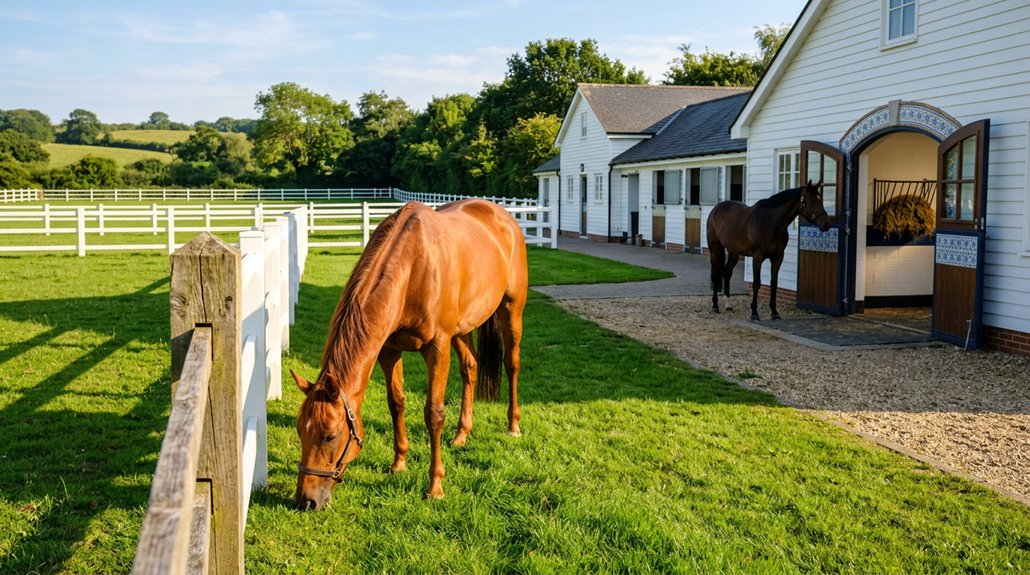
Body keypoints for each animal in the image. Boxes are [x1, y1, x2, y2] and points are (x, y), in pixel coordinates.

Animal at [291, 198, 528, 510]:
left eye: (330, 436)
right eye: (299, 430)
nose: (306, 501)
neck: (413, 268)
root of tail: (503, 216)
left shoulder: (437, 348)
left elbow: (434, 413)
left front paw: (435, 486)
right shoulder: (389, 350)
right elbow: (396, 403)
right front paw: (399, 463)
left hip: (511, 309)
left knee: (511, 364)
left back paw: (513, 425)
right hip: (462, 328)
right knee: (471, 366)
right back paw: (462, 434)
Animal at [707, 180, 831, 321]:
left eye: (820, 200)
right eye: (812, 201)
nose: (826, 224)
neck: (770, 222)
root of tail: (716, 210)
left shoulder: (778, 257)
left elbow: (774, 283)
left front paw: (774, 312)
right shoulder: (757, 257)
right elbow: (757, 283)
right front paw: (754, 313)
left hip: (734, 252)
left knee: (727, 273)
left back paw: (728, 305)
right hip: (715, 249)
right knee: (715, 275)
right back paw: (715, 305)